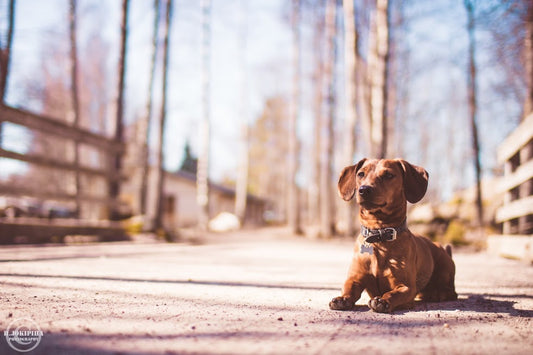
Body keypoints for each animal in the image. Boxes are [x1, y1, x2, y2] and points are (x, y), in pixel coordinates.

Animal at [328, 160, 458, 312]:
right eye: (360, 174)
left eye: (388, 175)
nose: (364, 189)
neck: (378, 235)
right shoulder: (354, 278)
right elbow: (348, 289)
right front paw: (342, 298)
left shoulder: (406, 287)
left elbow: (393, 293)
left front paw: (382, 300)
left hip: (445, 268)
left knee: (451, 292)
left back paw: (438, 293)